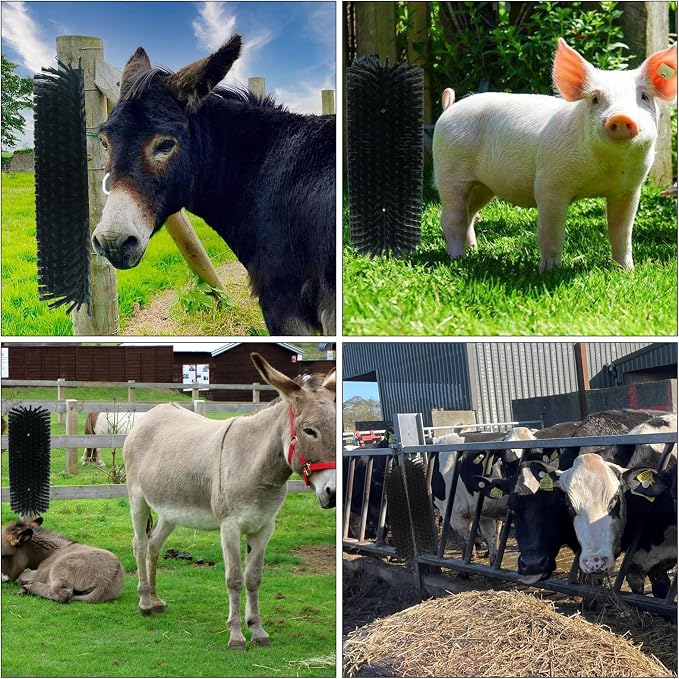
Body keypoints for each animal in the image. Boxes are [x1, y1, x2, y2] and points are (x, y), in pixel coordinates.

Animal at [123, 353, 336, 649]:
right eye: (310, 431)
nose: (333, 492)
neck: (256, 465)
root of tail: (153, 412)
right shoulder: (230, 526)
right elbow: (234, 579)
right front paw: (236, 636)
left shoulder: (264, 527)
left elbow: (254, 578)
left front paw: (257, 630)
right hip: (137, 498)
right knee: (140, 544)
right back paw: (144, 602)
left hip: (170, 510)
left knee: (154, 545)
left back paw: (155, 600)